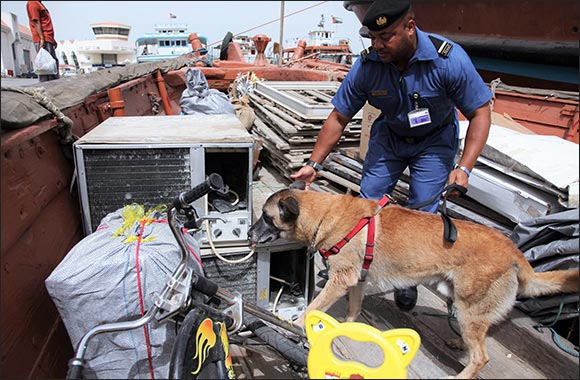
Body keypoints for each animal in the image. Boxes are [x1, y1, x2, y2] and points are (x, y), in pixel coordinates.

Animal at [247, 183, 576, 378]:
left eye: (265, 217)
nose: (249, 234)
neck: (325, 214)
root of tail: (515, 252)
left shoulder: (341, 280)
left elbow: (313, 306)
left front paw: (295, 323)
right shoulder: (357, 282)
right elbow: (353, 308)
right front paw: (350, 326)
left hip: (469, 307)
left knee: (481, 357)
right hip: (467, 309)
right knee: (480, 339)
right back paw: (460, 343)